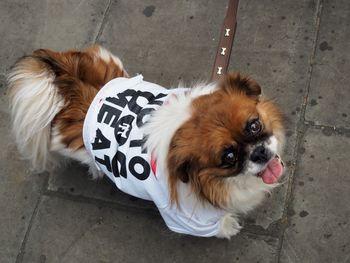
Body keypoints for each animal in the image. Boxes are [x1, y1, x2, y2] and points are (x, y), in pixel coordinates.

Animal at [7, 45, 284, 239]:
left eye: (254, 125)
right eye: (228, 157)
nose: (259, 152)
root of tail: (72, 86)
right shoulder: (187, 219)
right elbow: (217, 226)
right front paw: (228, 226)